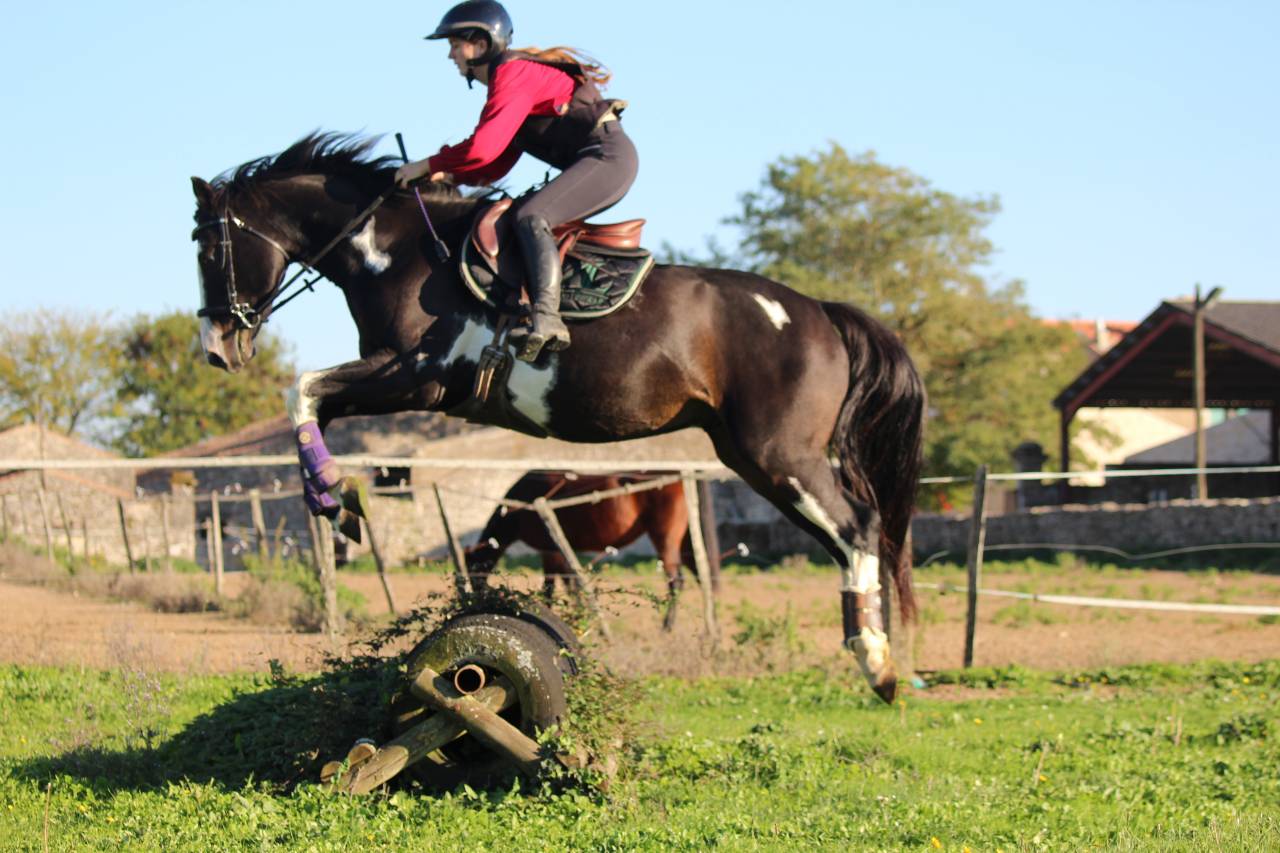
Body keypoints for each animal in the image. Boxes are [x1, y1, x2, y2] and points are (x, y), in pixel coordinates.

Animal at [464, 471, 721, 630]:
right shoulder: (560, 552)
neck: (522, 504)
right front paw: (580, 617)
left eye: (474, 567)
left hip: (666, 539)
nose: (476, 599)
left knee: (676, 581)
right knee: (703, 577)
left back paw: (667, 628)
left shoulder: (551, 551)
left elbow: (552, 588)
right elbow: (571, 586)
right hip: (686, 539)